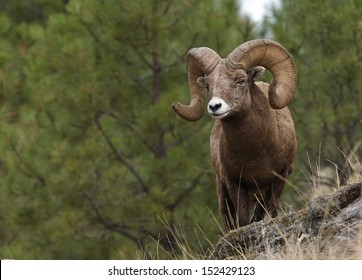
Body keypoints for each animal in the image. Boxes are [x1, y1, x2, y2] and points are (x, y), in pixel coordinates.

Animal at [173, 38, 296, 229]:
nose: (214, 106)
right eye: (208, 85)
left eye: (240, 80)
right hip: (223, 194)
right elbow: (243, 221)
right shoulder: (235, 183)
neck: (257, 153)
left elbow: (269, 212)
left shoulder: (279, 178)